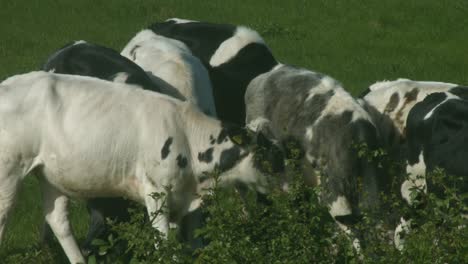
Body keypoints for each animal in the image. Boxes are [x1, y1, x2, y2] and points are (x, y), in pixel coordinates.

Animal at [0, 71, 286, 262]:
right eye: (273, 160)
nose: (290, 193)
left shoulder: (187, 197)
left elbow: (191, 243)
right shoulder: (156, 192)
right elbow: (164, 243)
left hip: (50, 175)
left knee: (58, 220)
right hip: (9, 172)